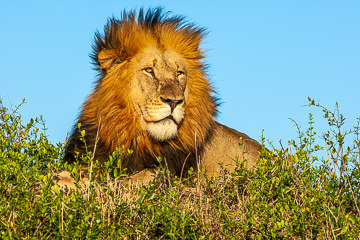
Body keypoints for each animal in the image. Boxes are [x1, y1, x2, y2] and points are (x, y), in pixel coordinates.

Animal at [57, 7, 264, 188]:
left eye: (179, 73)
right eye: (149, 70)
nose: (174, 101)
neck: (134, 136)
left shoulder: (169, 171)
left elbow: (132, 179)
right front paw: (64, 179)